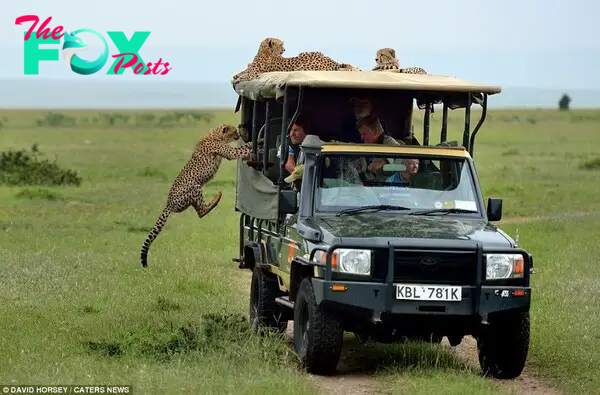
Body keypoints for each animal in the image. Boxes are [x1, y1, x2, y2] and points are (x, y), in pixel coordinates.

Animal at [141, 126, 258, 270]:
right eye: (234, 131)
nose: (238, 135)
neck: (215, 135)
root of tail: (168, 205)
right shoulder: (230, 153)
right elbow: (241, 150)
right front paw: (254, 143)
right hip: (194, 186)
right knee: (201, 212)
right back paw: (216, 198)